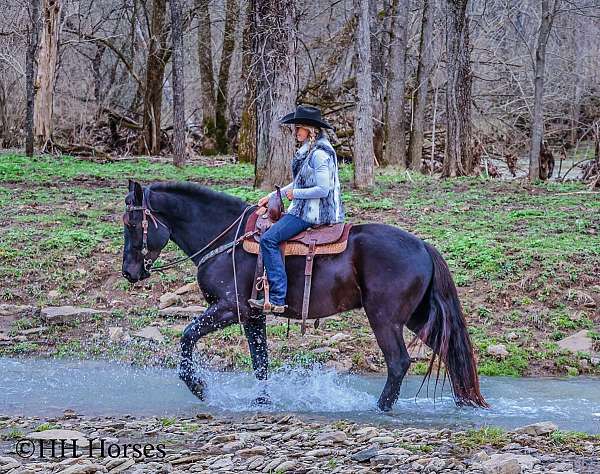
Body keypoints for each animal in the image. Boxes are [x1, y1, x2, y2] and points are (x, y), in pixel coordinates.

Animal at [120, 180, 488, 410]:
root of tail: (423, 246)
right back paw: (464, 401)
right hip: (416, 317)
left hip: (384, 318)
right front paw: (262, 402)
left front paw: (199, 387)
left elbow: (186, 338)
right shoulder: (253, 314)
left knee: (398, 362)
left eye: (132, 222)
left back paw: (380, 408)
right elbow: (260, 363)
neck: (226, 239)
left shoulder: (230, 308)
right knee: (450, 351)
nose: (129, 272)